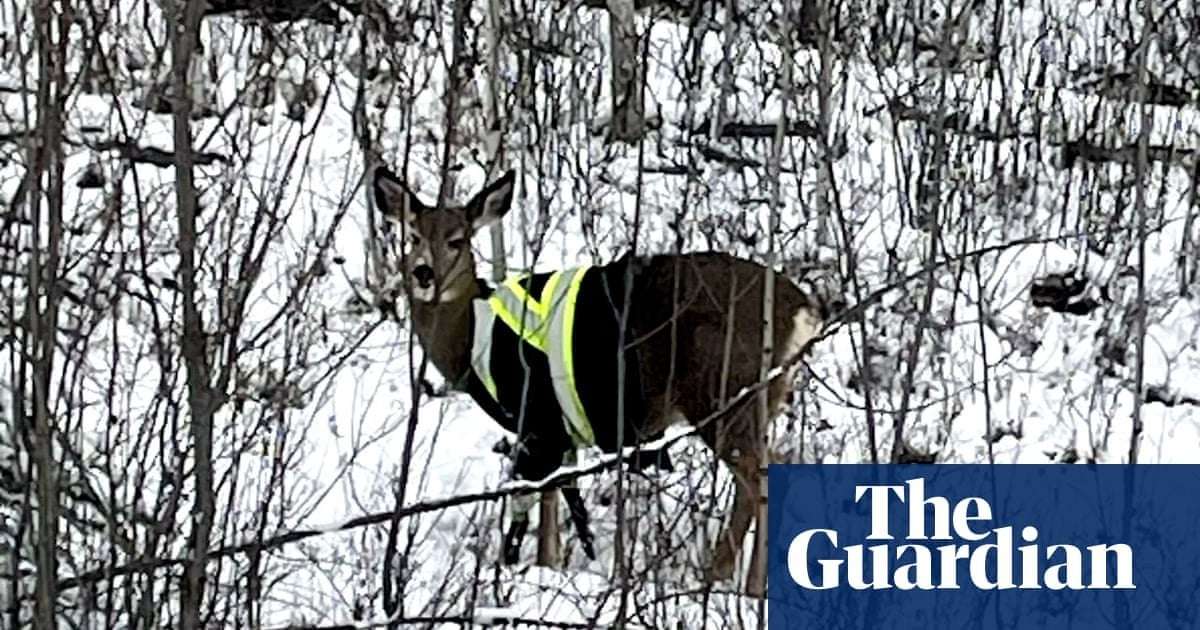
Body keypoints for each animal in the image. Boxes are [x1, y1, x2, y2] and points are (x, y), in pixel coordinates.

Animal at [371, 163, 841, 593]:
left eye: (458, 240)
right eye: (412, 236)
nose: (423, 273)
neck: (470, 336)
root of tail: (803, 312)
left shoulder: (535, 415)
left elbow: (540, 493)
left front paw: (538, 566)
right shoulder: (559, 428)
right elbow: (558, 493)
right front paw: (554, 564)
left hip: (724, 392)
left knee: (760, 476)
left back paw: (737, 581)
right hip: (757, 398)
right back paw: (733, 578)